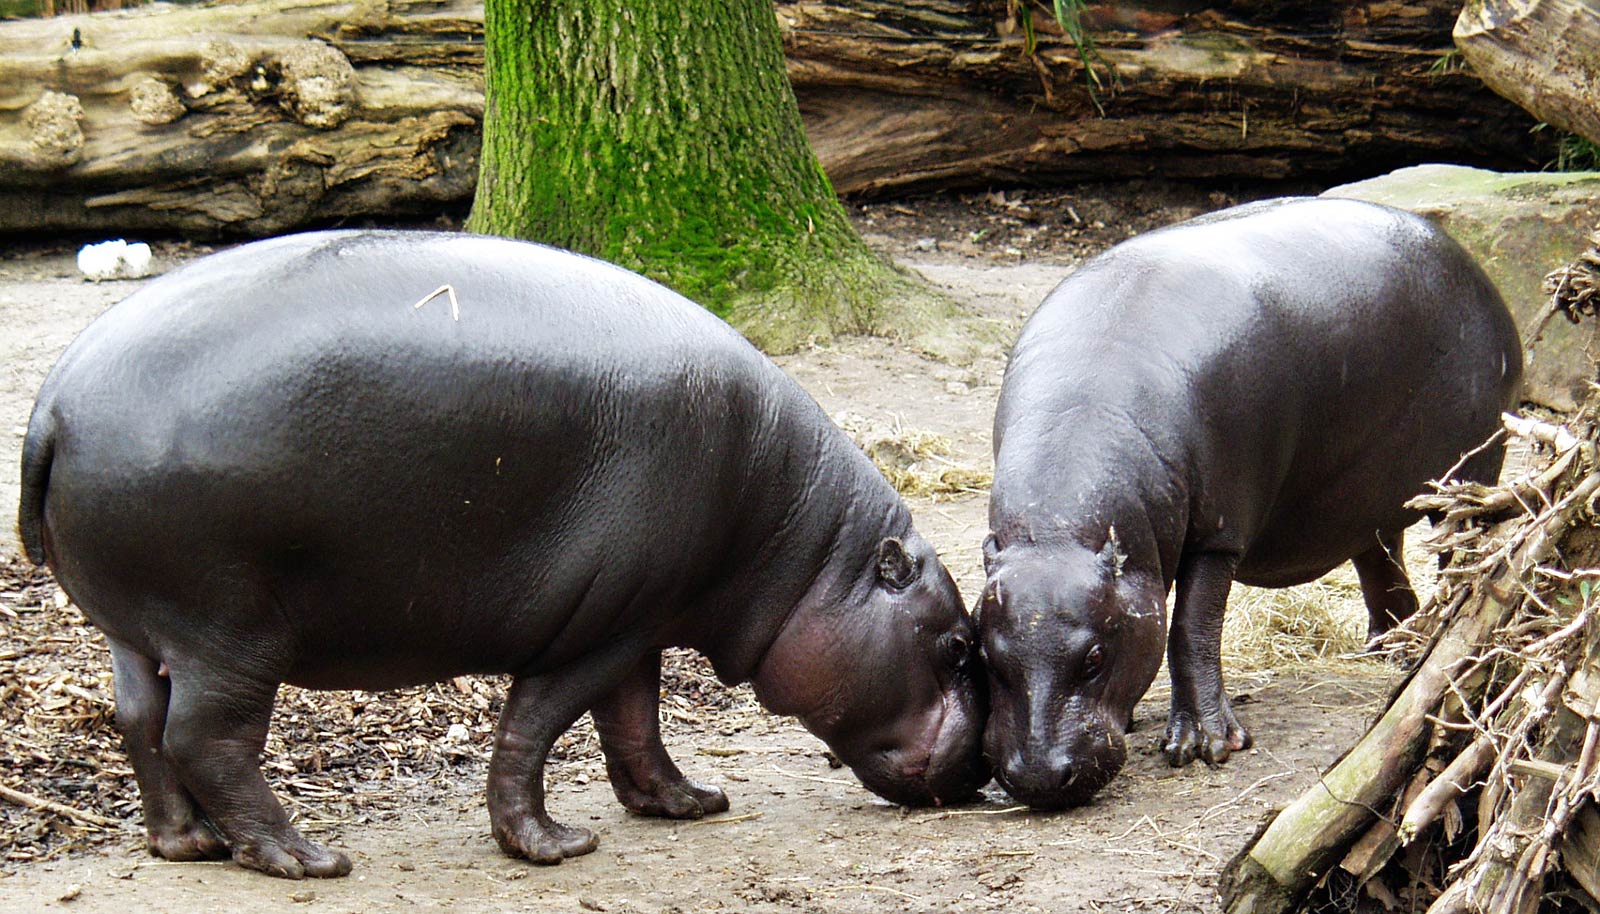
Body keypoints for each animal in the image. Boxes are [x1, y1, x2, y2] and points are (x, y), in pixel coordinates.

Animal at [17, 230, 988, 878]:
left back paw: (187, 844)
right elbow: (536, 727)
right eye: (954, 644)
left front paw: (687, 805)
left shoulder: (640, 618)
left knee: (139, 721)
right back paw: (302, 856)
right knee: (206, 736)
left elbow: (635, 723)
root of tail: (55, 402)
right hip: (230, 631)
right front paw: (554, 846)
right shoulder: (593, 630)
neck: (807, 553)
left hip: (136, 625)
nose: (984, 768)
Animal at [978, 197, 1521, 808]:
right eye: (984, 653)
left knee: (1461, 554)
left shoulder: (1218, 534)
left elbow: (1189, 627)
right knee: (1383, 563)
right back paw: (1397, 651)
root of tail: (1474, 266)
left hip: (1471, 472)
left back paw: (1437, 643)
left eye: (1094, 656)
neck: (1058, 536)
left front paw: (1205, 747)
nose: (1037, 777)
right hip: (1368, 500)